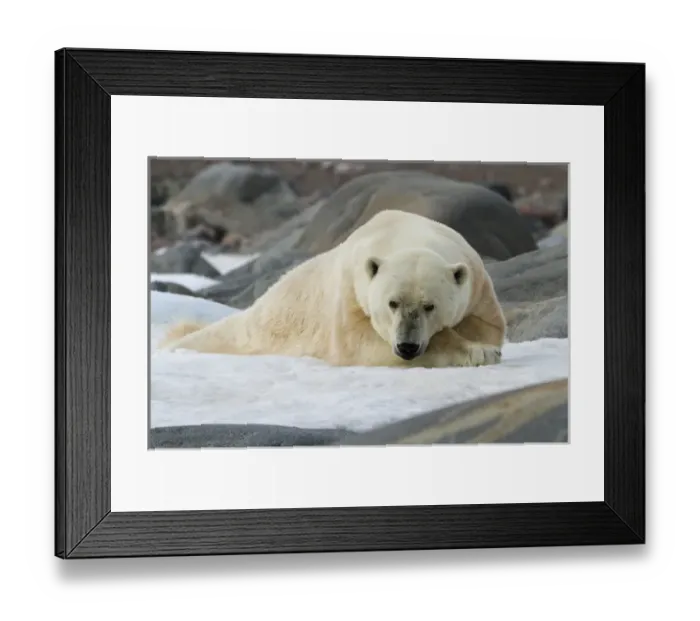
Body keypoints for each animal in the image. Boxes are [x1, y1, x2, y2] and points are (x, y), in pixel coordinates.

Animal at [157, 201, 506, 369]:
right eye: (392, 303)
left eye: (429, 306)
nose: (406, 346)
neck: (405, 232)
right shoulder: (351, 291)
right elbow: (361, 343)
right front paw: (477, 351)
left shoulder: (476, 279)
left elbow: (489, 325)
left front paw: (480, 344)